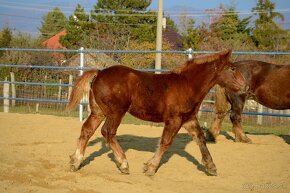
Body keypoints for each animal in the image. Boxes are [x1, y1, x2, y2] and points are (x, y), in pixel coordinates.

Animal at [67, 50, 246, 176]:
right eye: (232, 68)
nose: (245, 87)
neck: (187, 85)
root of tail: (99, 73)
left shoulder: (188, 119)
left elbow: (200, 139)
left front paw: (211, 167)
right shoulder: (174, 120)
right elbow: (166, 142)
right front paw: (150, 167)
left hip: (98, 112)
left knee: (87, 130)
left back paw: (76, 162)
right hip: (116, 112)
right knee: (108, 132)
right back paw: (123, 163)